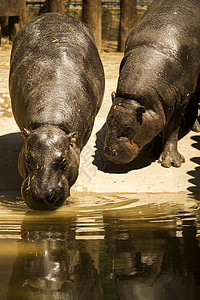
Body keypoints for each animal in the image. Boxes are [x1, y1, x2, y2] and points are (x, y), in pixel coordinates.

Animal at [104, 0, 200, 168]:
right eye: (108, 121)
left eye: (128, 128)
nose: (110, 153)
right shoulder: (159, 106)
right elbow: (157, 126)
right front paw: (150, 152)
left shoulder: (180, 101)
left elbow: (172, 130)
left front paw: (171, 163)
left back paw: (193, 128)